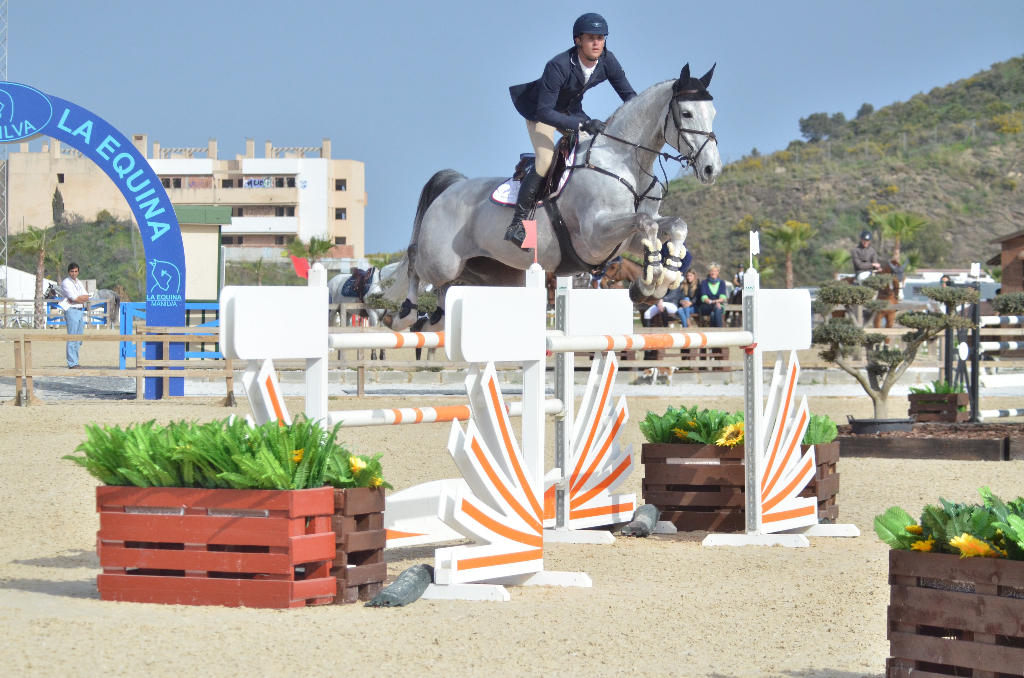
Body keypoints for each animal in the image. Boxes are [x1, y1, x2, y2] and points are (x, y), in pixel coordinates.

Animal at [385, 64, 720, 331]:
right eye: (687, 113)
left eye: (713, 113)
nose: (711, 169)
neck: (626, 162)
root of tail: (452, 187)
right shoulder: (595, 236)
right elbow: (646, 223)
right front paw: (650, 281)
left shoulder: (626, 240)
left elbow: (673, 226)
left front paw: (659, 281)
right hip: (442, 260)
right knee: (415, 260)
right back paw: (403, 315)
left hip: (486, 271)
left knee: (445, 290)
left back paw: (433, 319)